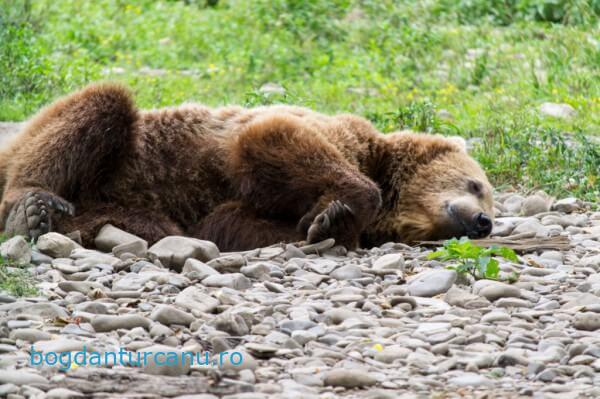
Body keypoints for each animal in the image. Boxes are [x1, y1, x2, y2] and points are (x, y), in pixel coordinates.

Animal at [0, 84, 492, 252]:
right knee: (102, 105)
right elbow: (272, 137)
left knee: (148, 223)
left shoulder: (225, 210)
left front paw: (325, 222)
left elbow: (232, 223)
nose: (483, 222)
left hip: (130, 205)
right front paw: (336, 212)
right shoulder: (320, 133)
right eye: (476, 183)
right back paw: (30, 207)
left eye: (485, 195)